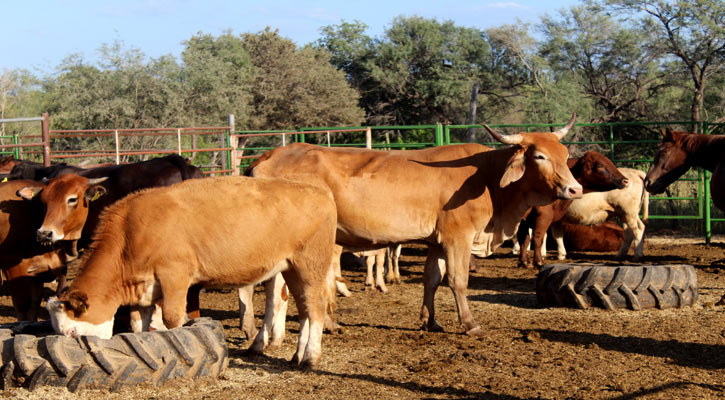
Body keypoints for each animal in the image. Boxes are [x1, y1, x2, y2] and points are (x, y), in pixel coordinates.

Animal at [46, 177, 336, 368]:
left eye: (72, 333)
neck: (130, 232)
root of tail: (319, 192)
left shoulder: (174, 276)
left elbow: (173, 319)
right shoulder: (144, 290)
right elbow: (139, 325)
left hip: (311, 265)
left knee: (316, 307)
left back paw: (310, 357)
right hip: (292, 269)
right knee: (305, 308)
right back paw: (298, 355)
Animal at [247, 113, 584, 334]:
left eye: (564, 153)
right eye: (539, 156)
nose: (575, 189)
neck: (487, 178)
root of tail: (269, 155)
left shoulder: (437, 242)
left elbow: (432, 280)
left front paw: (429, 320)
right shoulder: (457, 238)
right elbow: (458, 281)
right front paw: (470, 324)